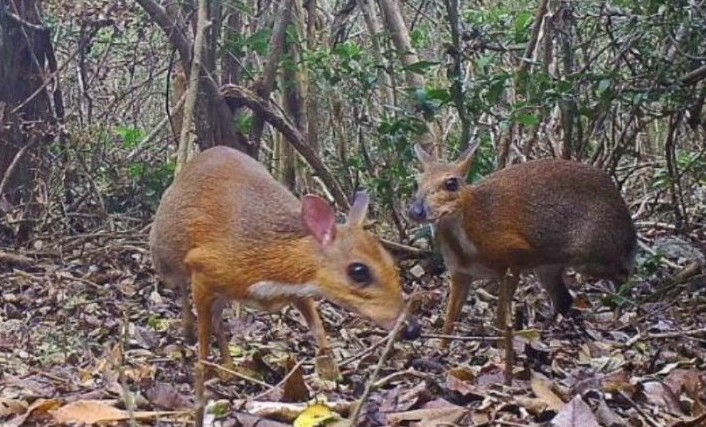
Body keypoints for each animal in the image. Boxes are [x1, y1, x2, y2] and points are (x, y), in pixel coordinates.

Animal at [404, 142, 636, 350]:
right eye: (418, 184)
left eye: (451, 183)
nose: (416, 211)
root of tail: (626, 219)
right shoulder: (460, 273)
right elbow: (449, 319)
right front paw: (441, 350)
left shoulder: (513, 258)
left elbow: (500, 314)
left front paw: (499, 346)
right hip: (548, 266)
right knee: (565, 299)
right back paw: (544, 331)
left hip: (593, 254)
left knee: (625, 276)